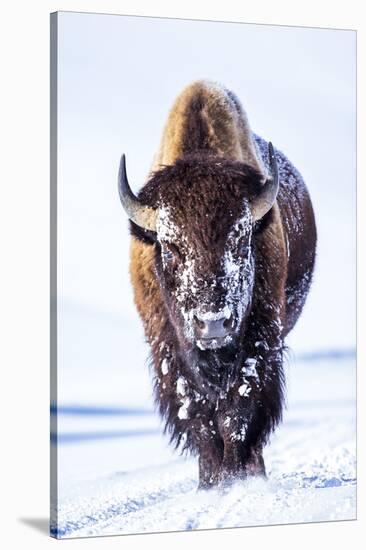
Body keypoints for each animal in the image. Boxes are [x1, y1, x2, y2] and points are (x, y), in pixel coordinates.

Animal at [118, 81, 318, 488]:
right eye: (170, 247)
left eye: (241, 242)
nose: (212, 324)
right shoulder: (169, 350)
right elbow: (197, 415)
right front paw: (211, 482)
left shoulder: (259, 342)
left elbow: (237, 410)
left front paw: (235, 478)